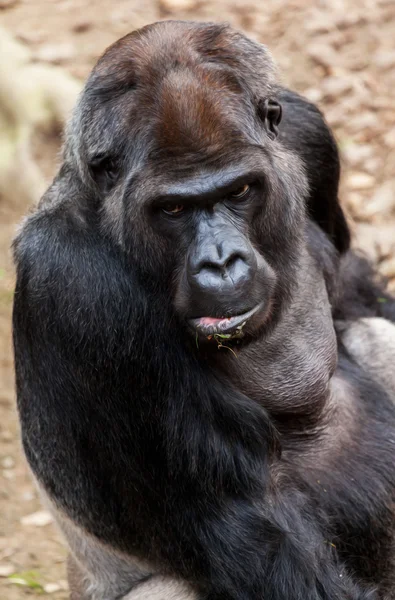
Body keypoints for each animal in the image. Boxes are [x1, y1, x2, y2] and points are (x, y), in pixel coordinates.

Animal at [10, 18, 395, 600]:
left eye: (239, 190)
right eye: (172, 208)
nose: (220, 262)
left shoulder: (306, 133)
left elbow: (355, 294)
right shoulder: (75, 282)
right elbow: (255, 533)